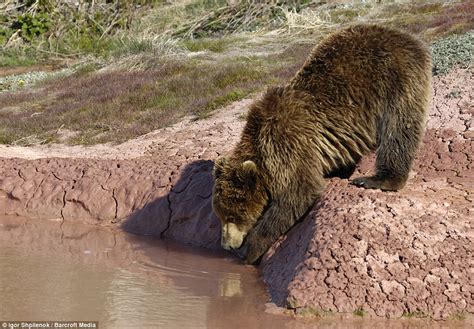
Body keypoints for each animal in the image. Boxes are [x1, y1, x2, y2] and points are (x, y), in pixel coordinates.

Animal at [213, 23, 432, 264]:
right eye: (220, 214)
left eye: (232, 215)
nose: (226, 245)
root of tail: (405, 36)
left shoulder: (287, 141)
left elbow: (299, 191)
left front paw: (250, 249)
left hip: (395, 79)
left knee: (399, 129)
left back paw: (376, 179)